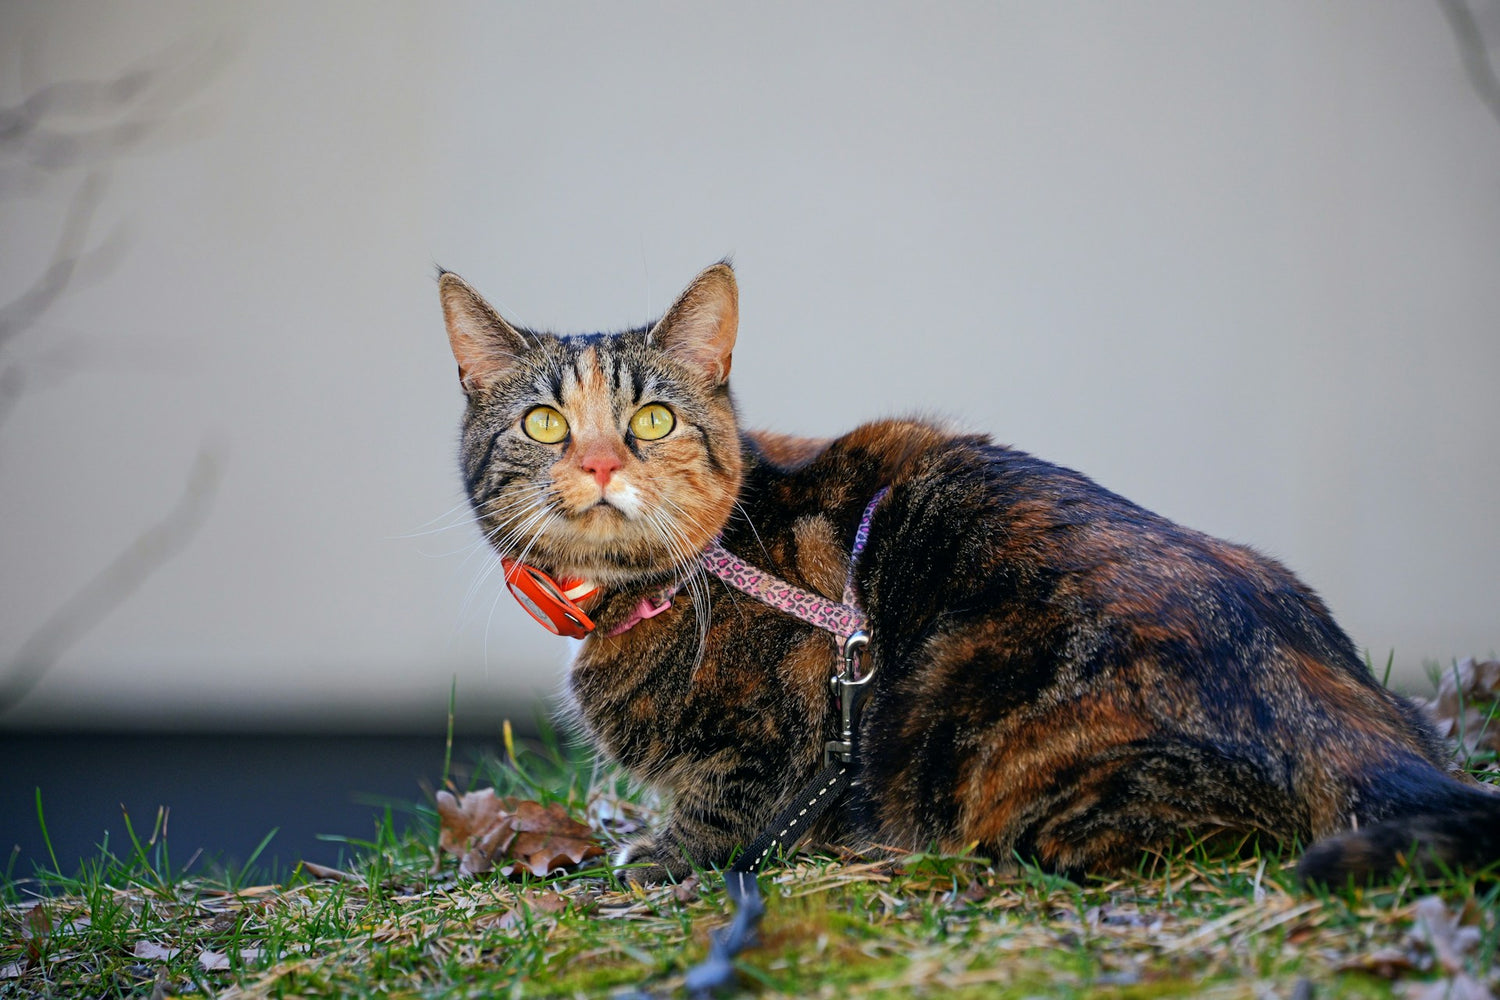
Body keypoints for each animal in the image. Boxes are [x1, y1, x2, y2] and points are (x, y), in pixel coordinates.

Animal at [438, 260, 1494, 881]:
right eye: (546, 423)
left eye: (652, 419)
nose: (598, 463)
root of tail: (1358, 729)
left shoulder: (777, 747)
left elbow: (718, 815)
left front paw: (651, 859)